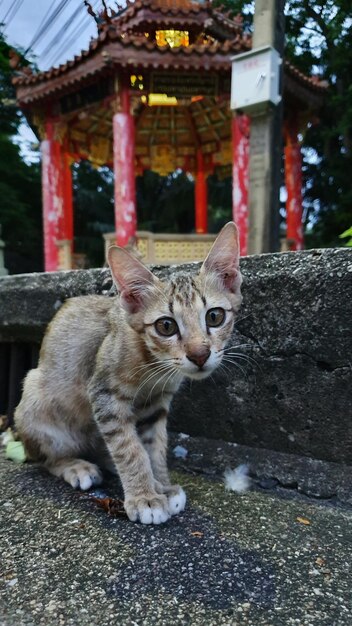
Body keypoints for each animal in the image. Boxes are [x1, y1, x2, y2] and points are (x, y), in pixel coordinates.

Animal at [13, 219, 242, 520]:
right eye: (166, 326)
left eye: (215, 316)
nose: (199, 355)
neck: (154, 366)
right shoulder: (104, 395)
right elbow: (129, 448)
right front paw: (146, 497)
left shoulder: (155, 404)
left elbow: (153, 446)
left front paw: (161, 485)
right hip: (35, 396)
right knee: (45, 458)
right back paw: (75, 465)